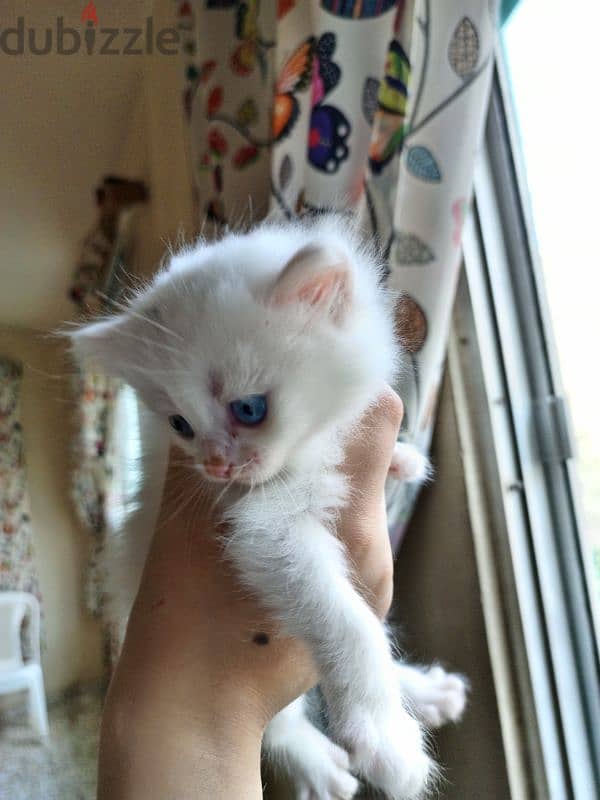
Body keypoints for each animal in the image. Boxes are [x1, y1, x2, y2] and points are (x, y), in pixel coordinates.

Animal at [69, 216, 464, 796]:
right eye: (180, 424)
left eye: (249, 409)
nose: (216, 467)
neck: (312, 442)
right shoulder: (264, 529)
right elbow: (351, 622)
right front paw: (387, 743)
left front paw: (405, 459)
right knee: (280, 725)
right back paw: (323, 766)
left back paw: (428, 692)